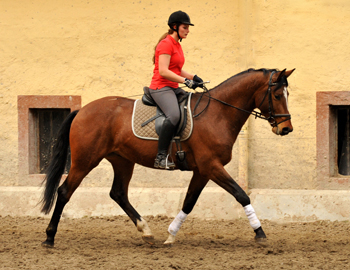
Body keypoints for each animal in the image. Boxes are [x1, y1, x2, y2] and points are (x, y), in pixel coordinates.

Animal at [39, 67, 294, 247]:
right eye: (277, 94)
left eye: (287, 94)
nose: (286, 129)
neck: (218, 113)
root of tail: (82, 110)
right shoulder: (211, 166)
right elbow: (241, 195)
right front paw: (260, 232)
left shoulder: (202, 170)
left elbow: (189, 202)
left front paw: (171, 235)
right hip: (85, 161)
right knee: (64, 192)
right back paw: (49, 237)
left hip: (122, 160)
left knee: (118, 193)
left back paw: (146, 232)